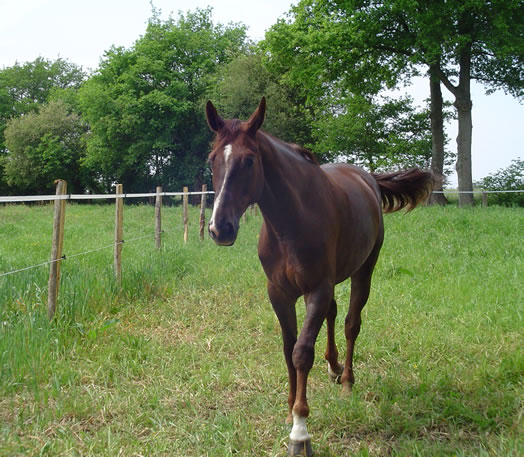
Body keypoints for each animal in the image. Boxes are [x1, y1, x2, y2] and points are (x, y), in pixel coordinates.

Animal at [206, 98, 434, 454]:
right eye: (213, 159)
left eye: (249, 159)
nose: (220, 228)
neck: (290, 222)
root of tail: (366, 177)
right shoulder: (279, 293)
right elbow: (288, 347)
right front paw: (289, 410)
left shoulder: (316, 288)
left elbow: (302, 352)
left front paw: (300, 432)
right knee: (333, 314)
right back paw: (333, 366)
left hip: (362, 271)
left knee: (352, 323)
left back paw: (347, 381)